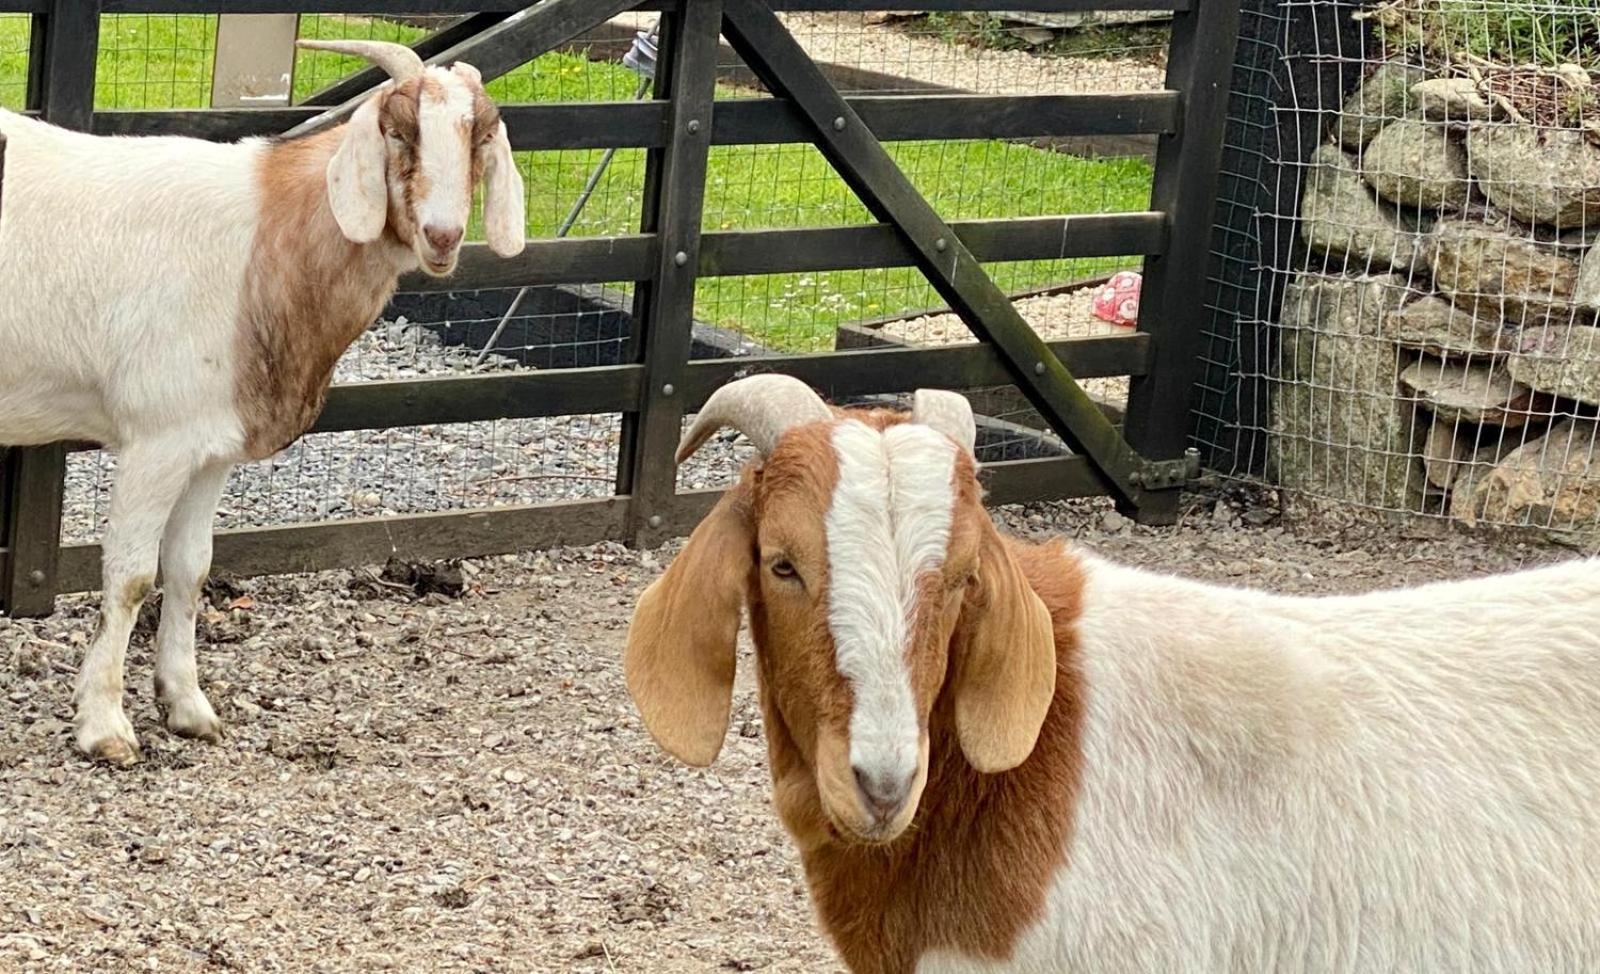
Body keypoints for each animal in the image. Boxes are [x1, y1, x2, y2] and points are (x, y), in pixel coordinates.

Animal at [0, 41, 524, 764]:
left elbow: (189, 570)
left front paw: (187, 706)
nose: (443, 236)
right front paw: (104, 726)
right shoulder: (156, 440)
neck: (269, 241)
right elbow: (130, 578)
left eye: (480, 137)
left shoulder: (209, 445)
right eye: (398, 131)